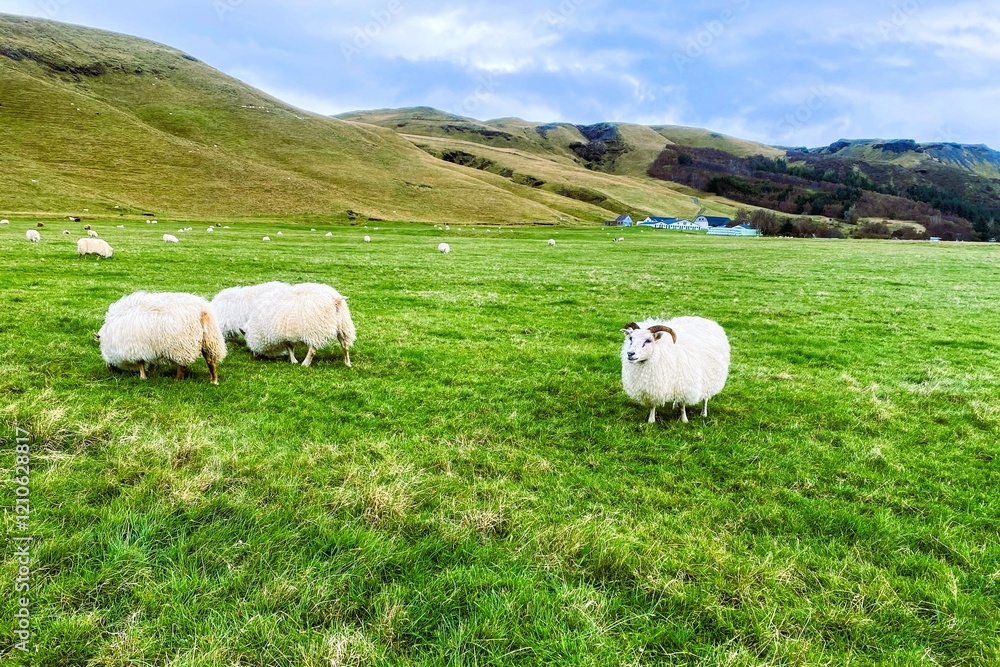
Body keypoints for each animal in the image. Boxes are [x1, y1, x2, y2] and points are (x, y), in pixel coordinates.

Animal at [98, 292, 227, 383]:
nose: (109, 369)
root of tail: (202, 312)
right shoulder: (150, 347)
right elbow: (151, 362)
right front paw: (152, 373)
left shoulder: (136, 347)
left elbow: (141, 363)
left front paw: (143, 377)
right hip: (209, 340)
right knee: (211, 362)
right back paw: (214, 381)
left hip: (182, 345)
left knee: (183, 366)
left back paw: (177, 380)